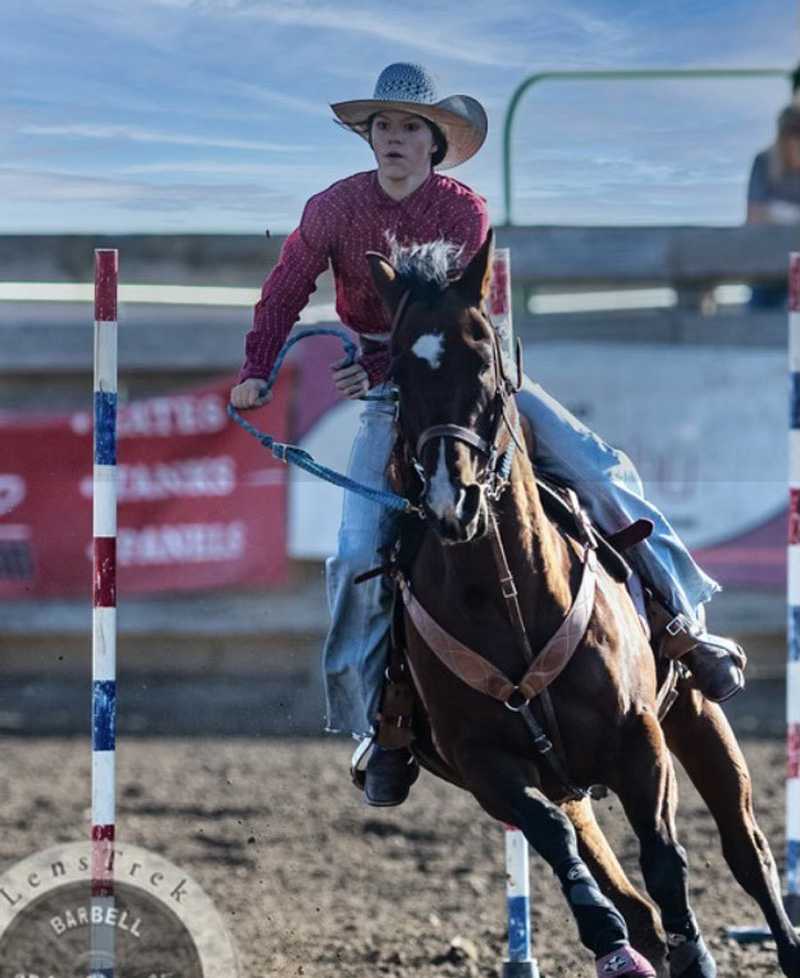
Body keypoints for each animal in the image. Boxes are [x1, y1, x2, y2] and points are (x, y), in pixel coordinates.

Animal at [368, 231, 800, 976]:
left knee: (748, 850)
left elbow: (664, 856)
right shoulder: (486, 763)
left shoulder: (640, 736)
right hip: (568, 781)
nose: (453, 500)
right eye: (398, 370)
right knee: (622, 888)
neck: (511, 598)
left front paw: (696, 954)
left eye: (484, 357)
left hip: (695, 712)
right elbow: (557, 842)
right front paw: (608, 938)